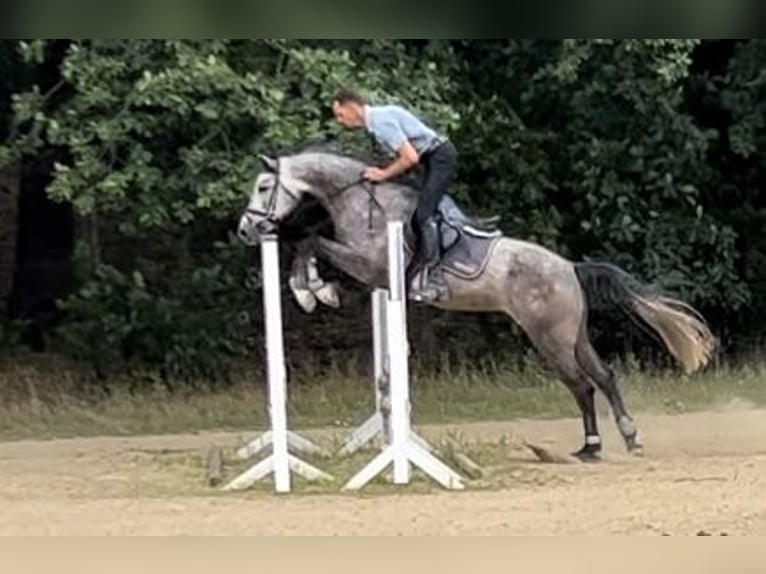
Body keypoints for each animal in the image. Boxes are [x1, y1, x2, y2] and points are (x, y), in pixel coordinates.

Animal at [237, 151, 716, 462]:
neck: (358, 201)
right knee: (603, 376)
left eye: (263, 187)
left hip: (548, 337)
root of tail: (570, 267)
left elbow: (311, 240)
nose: (245, 229)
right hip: (572, 335)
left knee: (581, 385)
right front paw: (312, 288)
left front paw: (313, 290)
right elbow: (310, 240)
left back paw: (592, 449)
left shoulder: (372, 266)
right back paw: (626, 438)